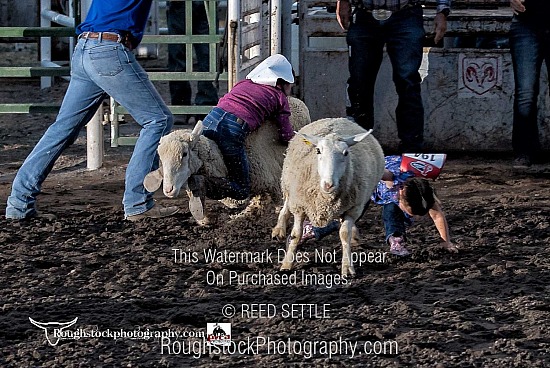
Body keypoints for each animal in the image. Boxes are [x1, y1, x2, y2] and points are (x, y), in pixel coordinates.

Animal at [144, 96, 312, 223]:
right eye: (160, 157)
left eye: (184, 154)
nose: (168, 189)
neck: (221, 158)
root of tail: (296, 100)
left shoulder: (273, 184)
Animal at [270, 118, 384, 276]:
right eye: (318, 151)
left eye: (346, 153)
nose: (328, 184)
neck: (325, 200)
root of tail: (337, 118)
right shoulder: (299, 205)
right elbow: (296, 234)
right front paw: (287, 264)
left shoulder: (353, 208)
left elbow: (344, 234)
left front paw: (347, 267)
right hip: (288, 183)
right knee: (286, 202)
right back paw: (279, 228)